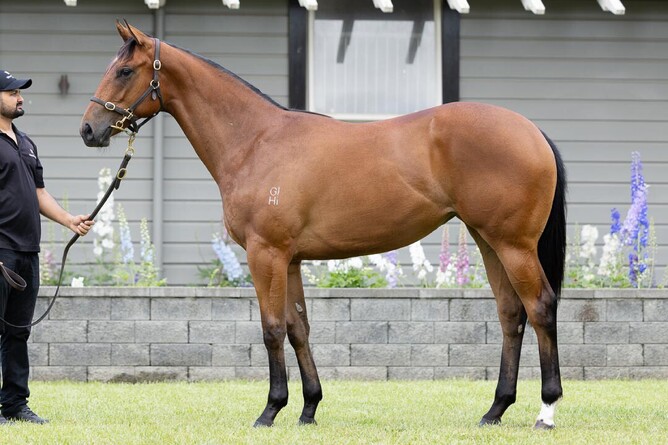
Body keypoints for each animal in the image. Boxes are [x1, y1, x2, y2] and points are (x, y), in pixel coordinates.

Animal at [80, 22, 566, 430]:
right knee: (511, 315)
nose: (88, 130)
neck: (255, 141)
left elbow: (272, 328)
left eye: (124, 70)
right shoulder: (290, 259)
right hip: (489, 242)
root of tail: (531, 130)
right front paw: (308, 409)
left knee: (540, 307)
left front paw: (270, 410)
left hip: (513, 245)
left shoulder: (266, 253)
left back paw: (546, 411)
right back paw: (495, 410)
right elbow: (298, 329)